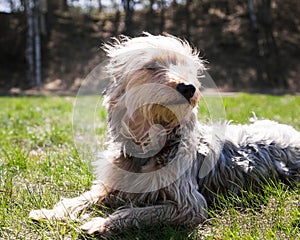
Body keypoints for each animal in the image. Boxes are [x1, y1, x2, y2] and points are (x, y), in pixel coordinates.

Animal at [29, 33, 300, 234]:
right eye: (151, 66)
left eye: (188, 70)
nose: (189, 87)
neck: (150, 144)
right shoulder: (112, 184)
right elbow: (84, 197)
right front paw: (50, 212)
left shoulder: (189, 205)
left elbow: (140, 212)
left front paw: (100, 223)